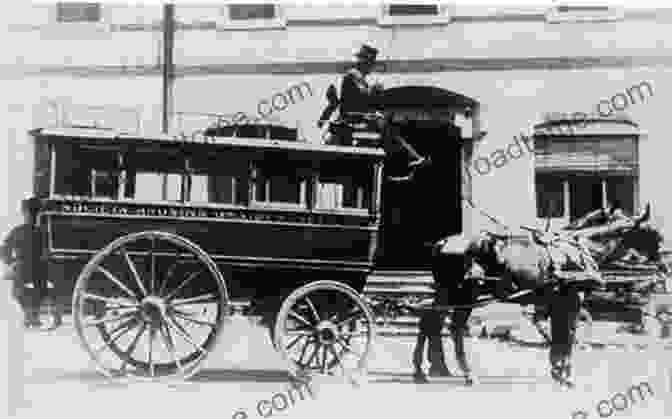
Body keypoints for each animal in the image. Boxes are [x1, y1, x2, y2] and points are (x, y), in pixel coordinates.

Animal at [414, 203, 660, 388]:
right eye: (650, 231)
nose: (662, 260)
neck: (577, 249)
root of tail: (443, 242)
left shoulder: (557, 301)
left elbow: (559, 333)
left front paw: (557, 370)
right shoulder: (572, 299)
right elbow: (567, 335)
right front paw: (566, 374)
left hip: (448, 293)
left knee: (430, 321)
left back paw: (429, 369)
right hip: (463, 294)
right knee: (452, 328)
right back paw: (464, 373)